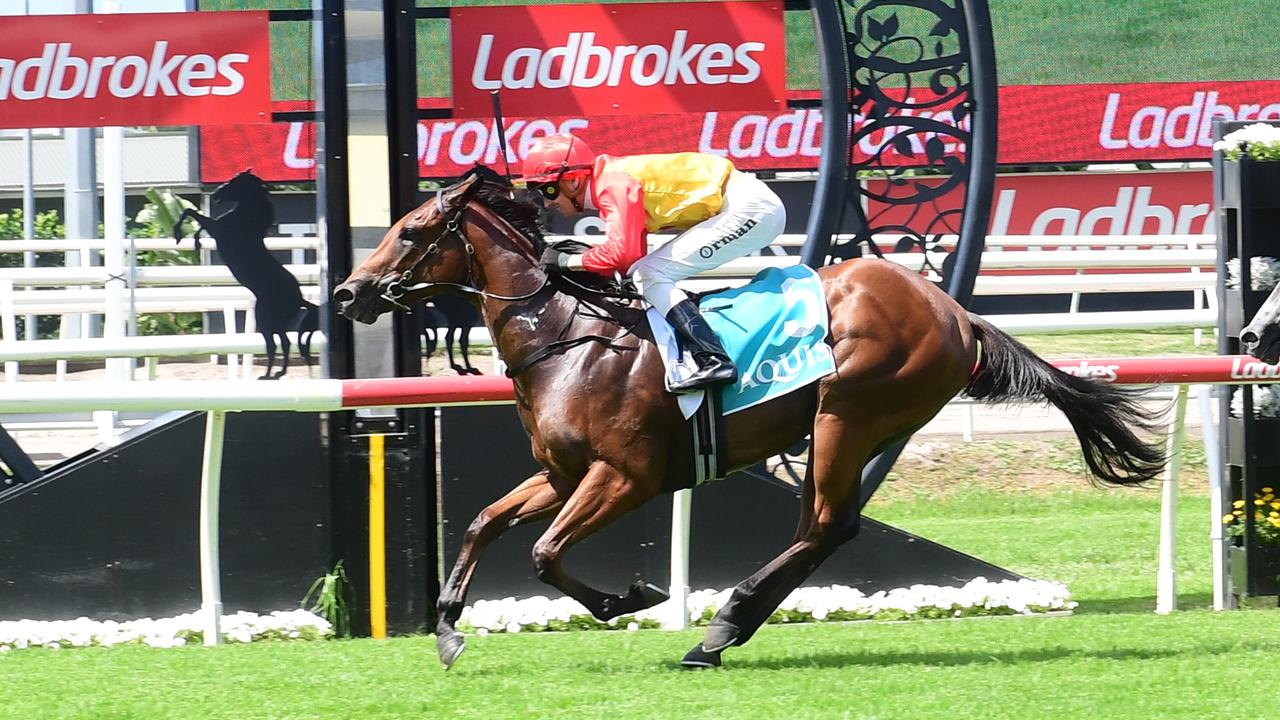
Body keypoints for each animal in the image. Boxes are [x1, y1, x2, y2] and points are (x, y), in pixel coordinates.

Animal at [332, 163, 1172, 666]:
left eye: (410, 231)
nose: (347, 292)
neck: (567, 336)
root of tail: (955, 311)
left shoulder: (625, 477)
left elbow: (542, 553)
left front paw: (631, 598)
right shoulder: (563, 474)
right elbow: (482, 522)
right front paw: (447, 628)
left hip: (847, 414)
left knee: (828, 526)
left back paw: (720, 625)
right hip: (848, 427)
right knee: (819, 529)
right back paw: (726, 628)